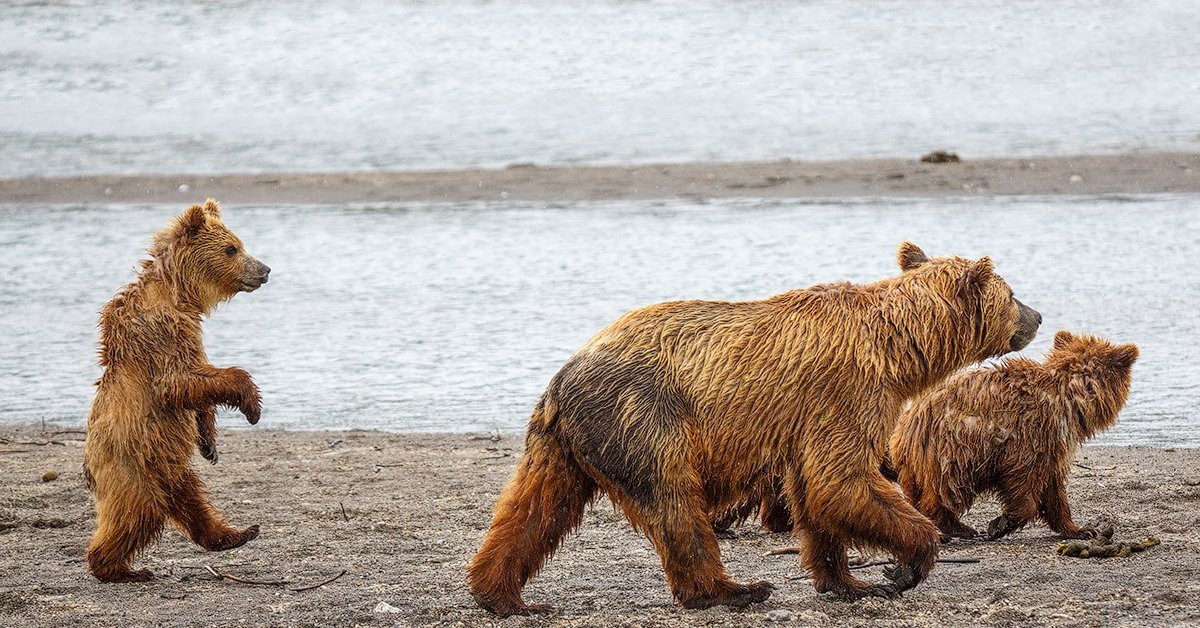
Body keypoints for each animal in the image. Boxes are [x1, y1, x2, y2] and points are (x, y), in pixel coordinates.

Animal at [83, 199, 271, 583]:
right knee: (137, 513)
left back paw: (236, 534)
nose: (265, 269)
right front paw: (252, 404)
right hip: (132, 468)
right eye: (232, 248)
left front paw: (210, 442)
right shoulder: (163, 332)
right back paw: (118, 569)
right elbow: (179, 383)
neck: (179, 294)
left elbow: (199, 385)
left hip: (171, 466)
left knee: (194, 501)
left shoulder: (189, 334)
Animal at [465, 241, 1041, 614]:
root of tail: (564, 378)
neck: (899, 348)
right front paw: (906, 564)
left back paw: (501, 594)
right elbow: (843, 480)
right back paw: (732, 590)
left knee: (533, 507)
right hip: (644, 419)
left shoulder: (813, 418)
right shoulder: (846, 393)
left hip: (564, 442)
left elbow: (816, 493)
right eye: (1012, 292)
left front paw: (849, 581)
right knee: (676, 505)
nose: (1036, 316)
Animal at [892, 331, 1132, 542]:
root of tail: (903, 431)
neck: (1071, 397)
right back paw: (952, 528)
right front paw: (1001, 523)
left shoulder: (1053, 447)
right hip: (954, 448)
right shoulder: (1030, 434)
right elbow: (1022, 480)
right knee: (948, 489)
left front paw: (1079, 529)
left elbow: (1054, 490)